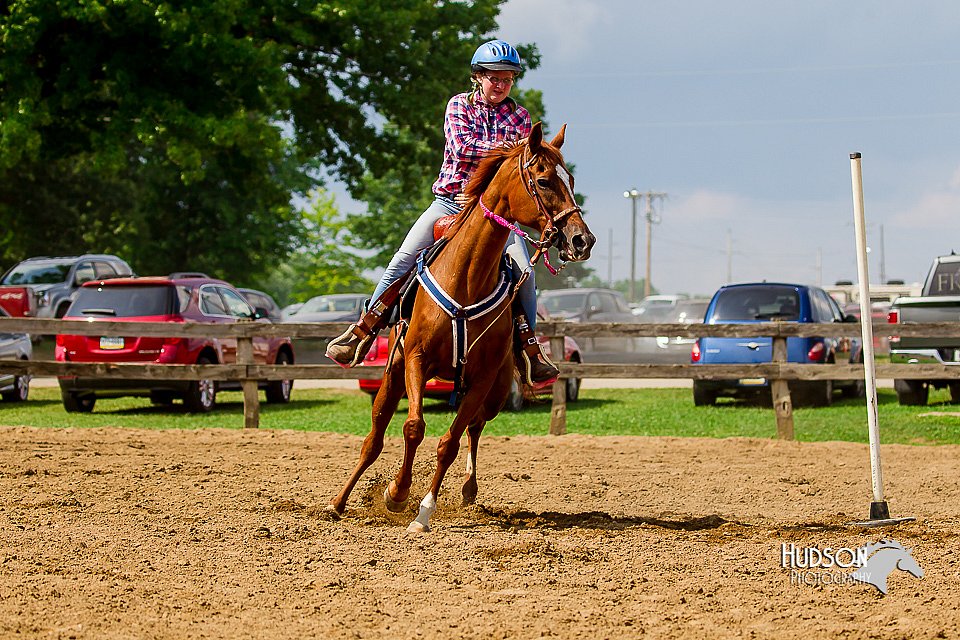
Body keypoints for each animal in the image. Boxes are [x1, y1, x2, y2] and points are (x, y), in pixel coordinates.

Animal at [326, 122, 592, 532]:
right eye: (545, 180)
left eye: (572, 180)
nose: (582, 239)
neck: (467, 277)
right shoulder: (417, 359)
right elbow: (414, 427)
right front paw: (396, 493)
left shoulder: (483, 378)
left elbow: (449, 442)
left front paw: (423, 512)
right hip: (394, 373)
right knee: (374, 437)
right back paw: (339, 502)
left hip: (495, 391)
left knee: (476, 426)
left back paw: (469, 487)